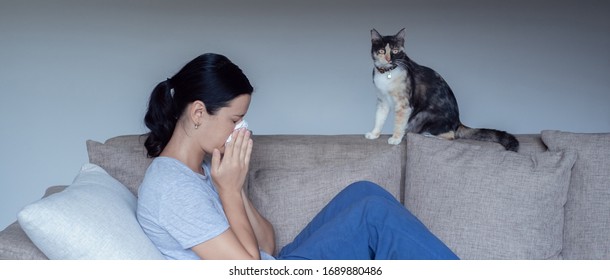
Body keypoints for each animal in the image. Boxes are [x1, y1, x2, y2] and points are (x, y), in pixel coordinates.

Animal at [364, 27, 516, 152]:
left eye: (395, 50)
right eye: (382, 51)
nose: (389, 59)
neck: (387, 73)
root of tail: (458, 122)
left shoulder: (404, 104)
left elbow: (399, 122)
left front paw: (395, 138)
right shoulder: (382, 101)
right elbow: (379, 118)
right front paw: (374, 134)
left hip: (421, 115)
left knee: (451, 136)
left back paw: (427, 135)